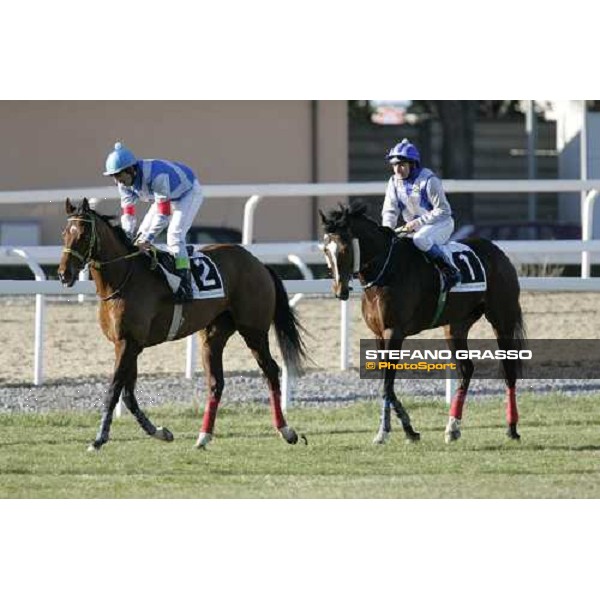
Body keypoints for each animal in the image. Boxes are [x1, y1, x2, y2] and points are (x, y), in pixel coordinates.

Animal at [58, 199, 308, 452]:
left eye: (82, 234)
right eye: (64, 234)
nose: (63, 274)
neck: (122, 280)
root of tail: (259, 264)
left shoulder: (128, 343)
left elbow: (114, 391)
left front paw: (99, 438)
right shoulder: (128, 344)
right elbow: (128, 395)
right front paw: (160, 432)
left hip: (253, 329)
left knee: (271, 371)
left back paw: (286, 431)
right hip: (213, 336)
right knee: (216, 382)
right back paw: (203, 436)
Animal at [318, 204, 524, 442]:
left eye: (344, 249)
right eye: (326, 250)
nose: (340, 291)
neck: (385, 272)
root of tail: (498, 252)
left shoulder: (394, 332)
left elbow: (387, 383)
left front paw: (384, 432)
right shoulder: (379, 334)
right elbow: (386, 382)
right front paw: (409, 429)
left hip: (502, 319)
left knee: (509, 370)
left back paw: (512, 428)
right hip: (455, 326)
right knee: (466, 369)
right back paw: (452, 427)